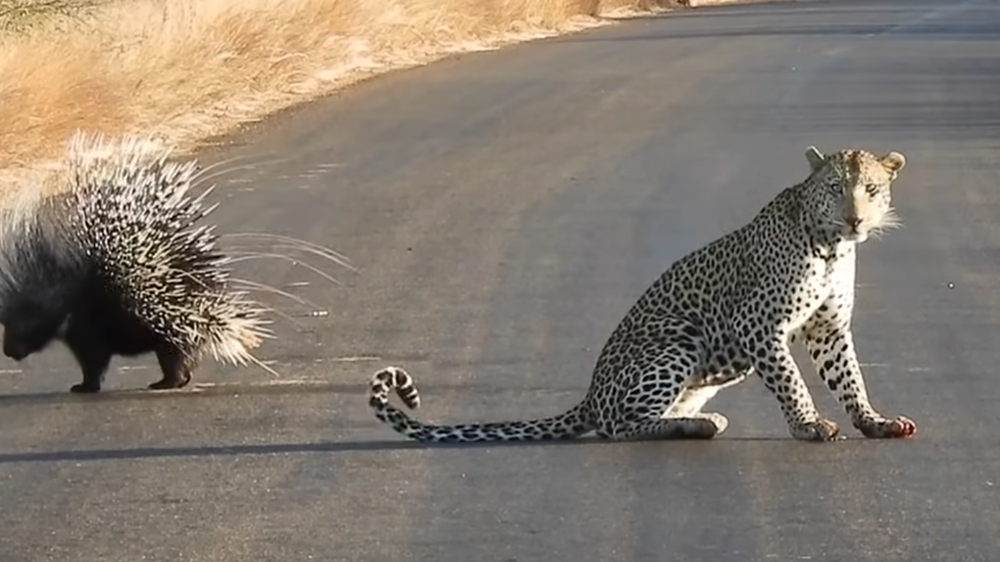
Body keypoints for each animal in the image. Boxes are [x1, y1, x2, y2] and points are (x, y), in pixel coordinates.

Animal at [366, 144, 916, 442]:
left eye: (870, 190)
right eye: (834, 189)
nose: (855, 219)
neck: (832, 247)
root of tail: (589, 396)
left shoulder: (828, 328)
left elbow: (849, 378)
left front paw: (874, 421)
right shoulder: (758, 324)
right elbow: (791, 380)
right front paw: (808, 425)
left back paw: (694, 419)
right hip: (678, 339)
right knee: (618, 425)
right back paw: (698, 426)